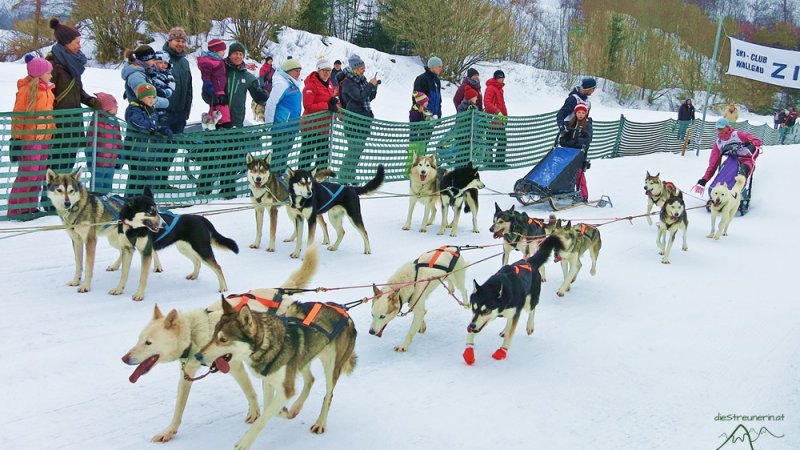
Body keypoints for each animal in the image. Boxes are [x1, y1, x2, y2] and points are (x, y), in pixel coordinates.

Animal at [462, 236, 564, 366]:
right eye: (473, 308)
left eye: (486, 311)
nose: (471, 325)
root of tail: (529, 262)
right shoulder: (477, 319)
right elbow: (473, 332)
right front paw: (468, 350)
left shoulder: (516, 312)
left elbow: (510, 335)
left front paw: (502, 351)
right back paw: (505, 330)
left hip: (528, 303)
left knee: (532, 310)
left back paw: (530, 326)